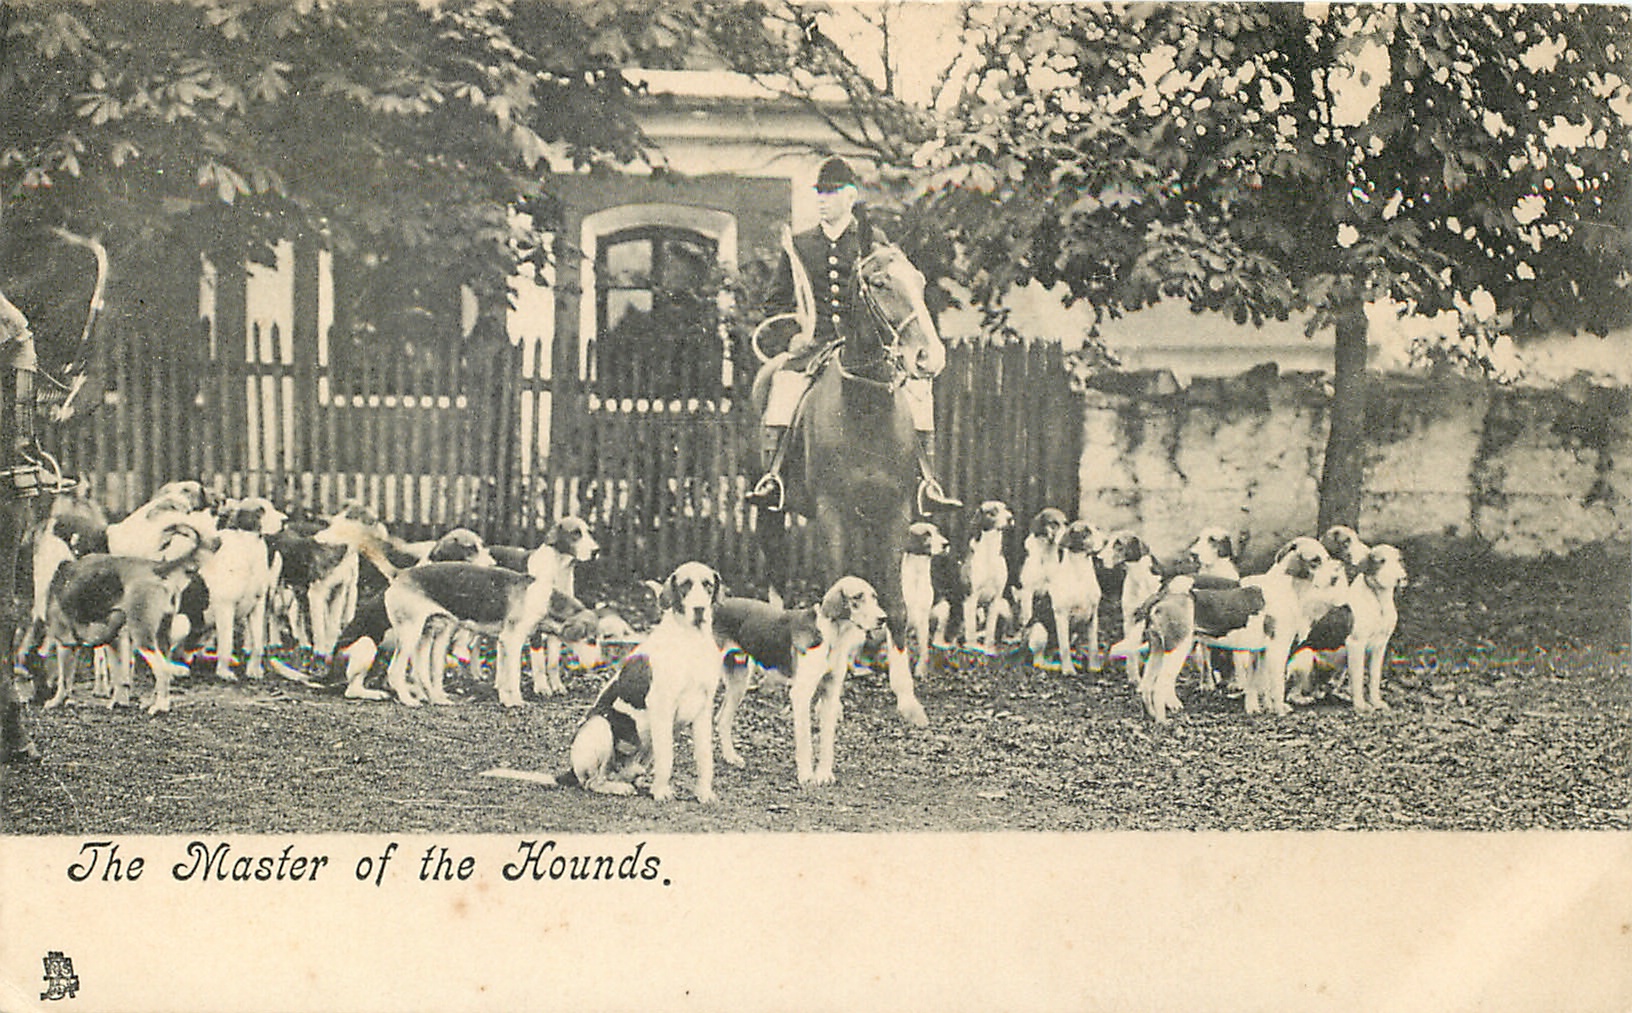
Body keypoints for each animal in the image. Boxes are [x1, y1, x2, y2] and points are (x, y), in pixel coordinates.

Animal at [42, 518, 219, 714]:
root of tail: (157, 568)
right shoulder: (115, 642)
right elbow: (120, 678)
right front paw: (118, 702)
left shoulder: (66, 642)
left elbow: (64, 681)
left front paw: (56, 701)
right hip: (161, 636)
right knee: (163, 671)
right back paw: (153, 702)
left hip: (143, 637)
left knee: (162, 671)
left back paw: (160, 707)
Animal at [554, 562, 726, 801]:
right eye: (685, 585)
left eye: (708, 584)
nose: (699, 609)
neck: (691, 639)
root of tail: (571, 770)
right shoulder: (662, 707)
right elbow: (667, 758)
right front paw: (661, 791)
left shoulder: (703, 708)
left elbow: (704, 758)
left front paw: (703, 793)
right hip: (600, 726)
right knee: (593, 781)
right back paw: (620, 787)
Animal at [750, 244, 945, 728]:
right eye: (879, 283)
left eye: (920, 280)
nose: (928, 357)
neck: (866, 405)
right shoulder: (832, 515)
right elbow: (834, 593)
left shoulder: (894, 516)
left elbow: (893, 602)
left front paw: (906, 697)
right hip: (769, 510)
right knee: (776, 568)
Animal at [901, 521, 950, 680]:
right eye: (927, 534)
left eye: (938, 531)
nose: (946, 544)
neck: (917, 575)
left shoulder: (922, 620)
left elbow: (923, 649)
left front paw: (920, 670)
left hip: (943, 608)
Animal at [960, 500, 1014, 651]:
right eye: (993, 511)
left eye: (1006, 509)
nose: (1010, 518)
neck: (990, 549)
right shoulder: (971, 597)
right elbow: (971, 627)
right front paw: (972, 647)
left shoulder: (996, 598)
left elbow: (991, 627)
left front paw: (989, 648)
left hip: (1004, 605)